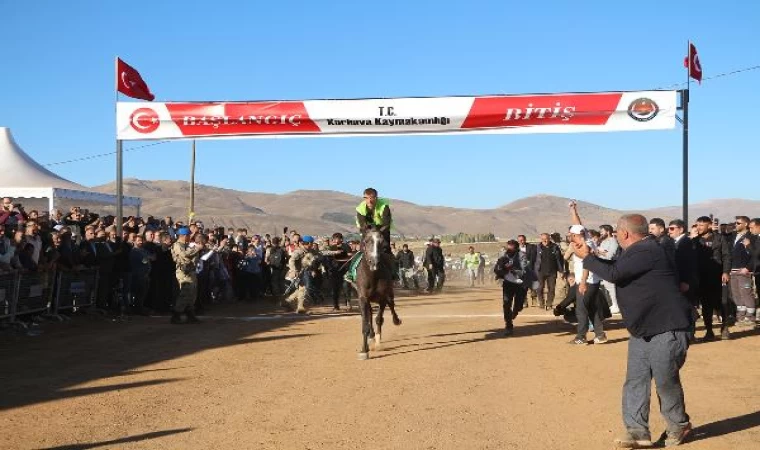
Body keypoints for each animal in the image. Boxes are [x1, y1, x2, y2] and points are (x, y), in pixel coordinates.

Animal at [356, 227, 404, 360]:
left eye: (383, 243)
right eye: (366, 241)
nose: (374, 263)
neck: (373, 275)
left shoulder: (382, 297)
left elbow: (379, 319)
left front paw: (377, 343)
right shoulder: (363, 298)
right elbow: (365, 324)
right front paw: (364, 350)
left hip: (390, 292)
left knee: (391, 304)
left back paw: (395, 321)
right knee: (370, 314)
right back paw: (372, 336)